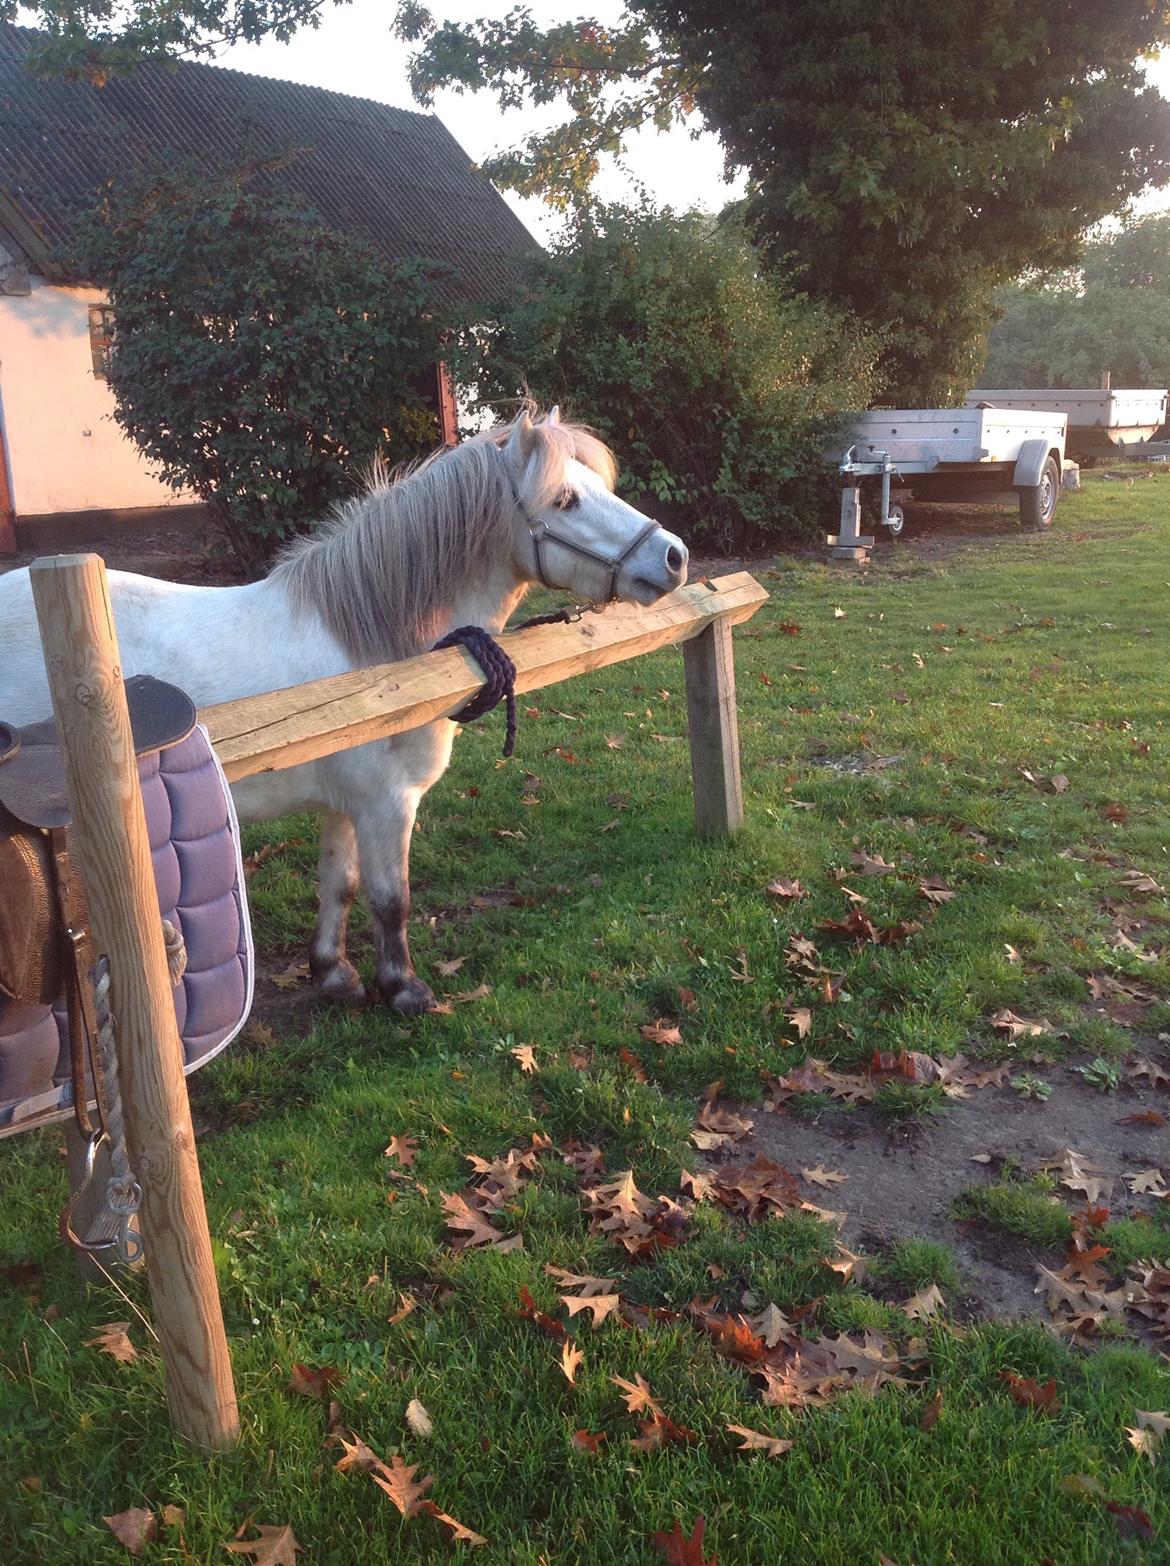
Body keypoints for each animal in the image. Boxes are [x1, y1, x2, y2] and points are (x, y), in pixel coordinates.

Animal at [0, 410, 686, 1008]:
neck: (380, 660)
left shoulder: (345, 805)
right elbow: (391, 899)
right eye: (565, 500)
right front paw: (404, 989)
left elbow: (341, 885)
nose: (674, 556)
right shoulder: (388, 803)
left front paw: (333, 974)